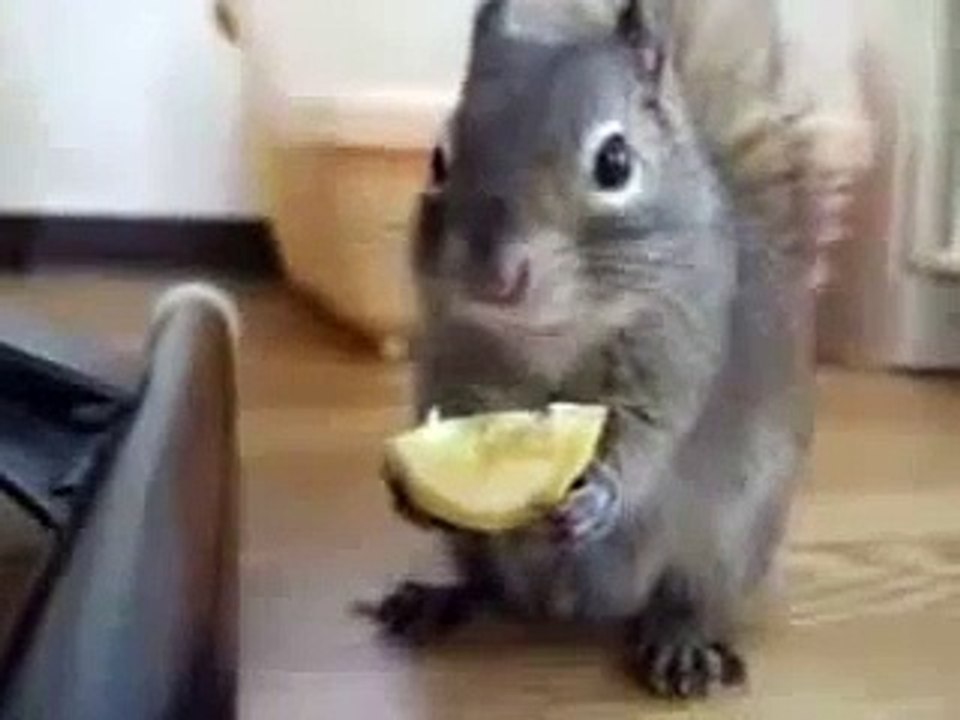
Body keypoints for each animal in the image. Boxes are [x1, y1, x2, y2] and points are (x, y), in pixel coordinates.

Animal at [363, 0, 864, 700]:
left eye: (616, 163)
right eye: (438, 158)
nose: (495, 277)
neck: (551, 331)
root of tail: (575, 609)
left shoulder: (675, 351)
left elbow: (645, 437)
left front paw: (598, 494)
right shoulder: (451, 353)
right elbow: (444, 410)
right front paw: (407, 485)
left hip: (729, 540)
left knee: (690, 596)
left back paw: (681, 639)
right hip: (482, 547)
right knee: (489, 587)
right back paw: (444, 600)